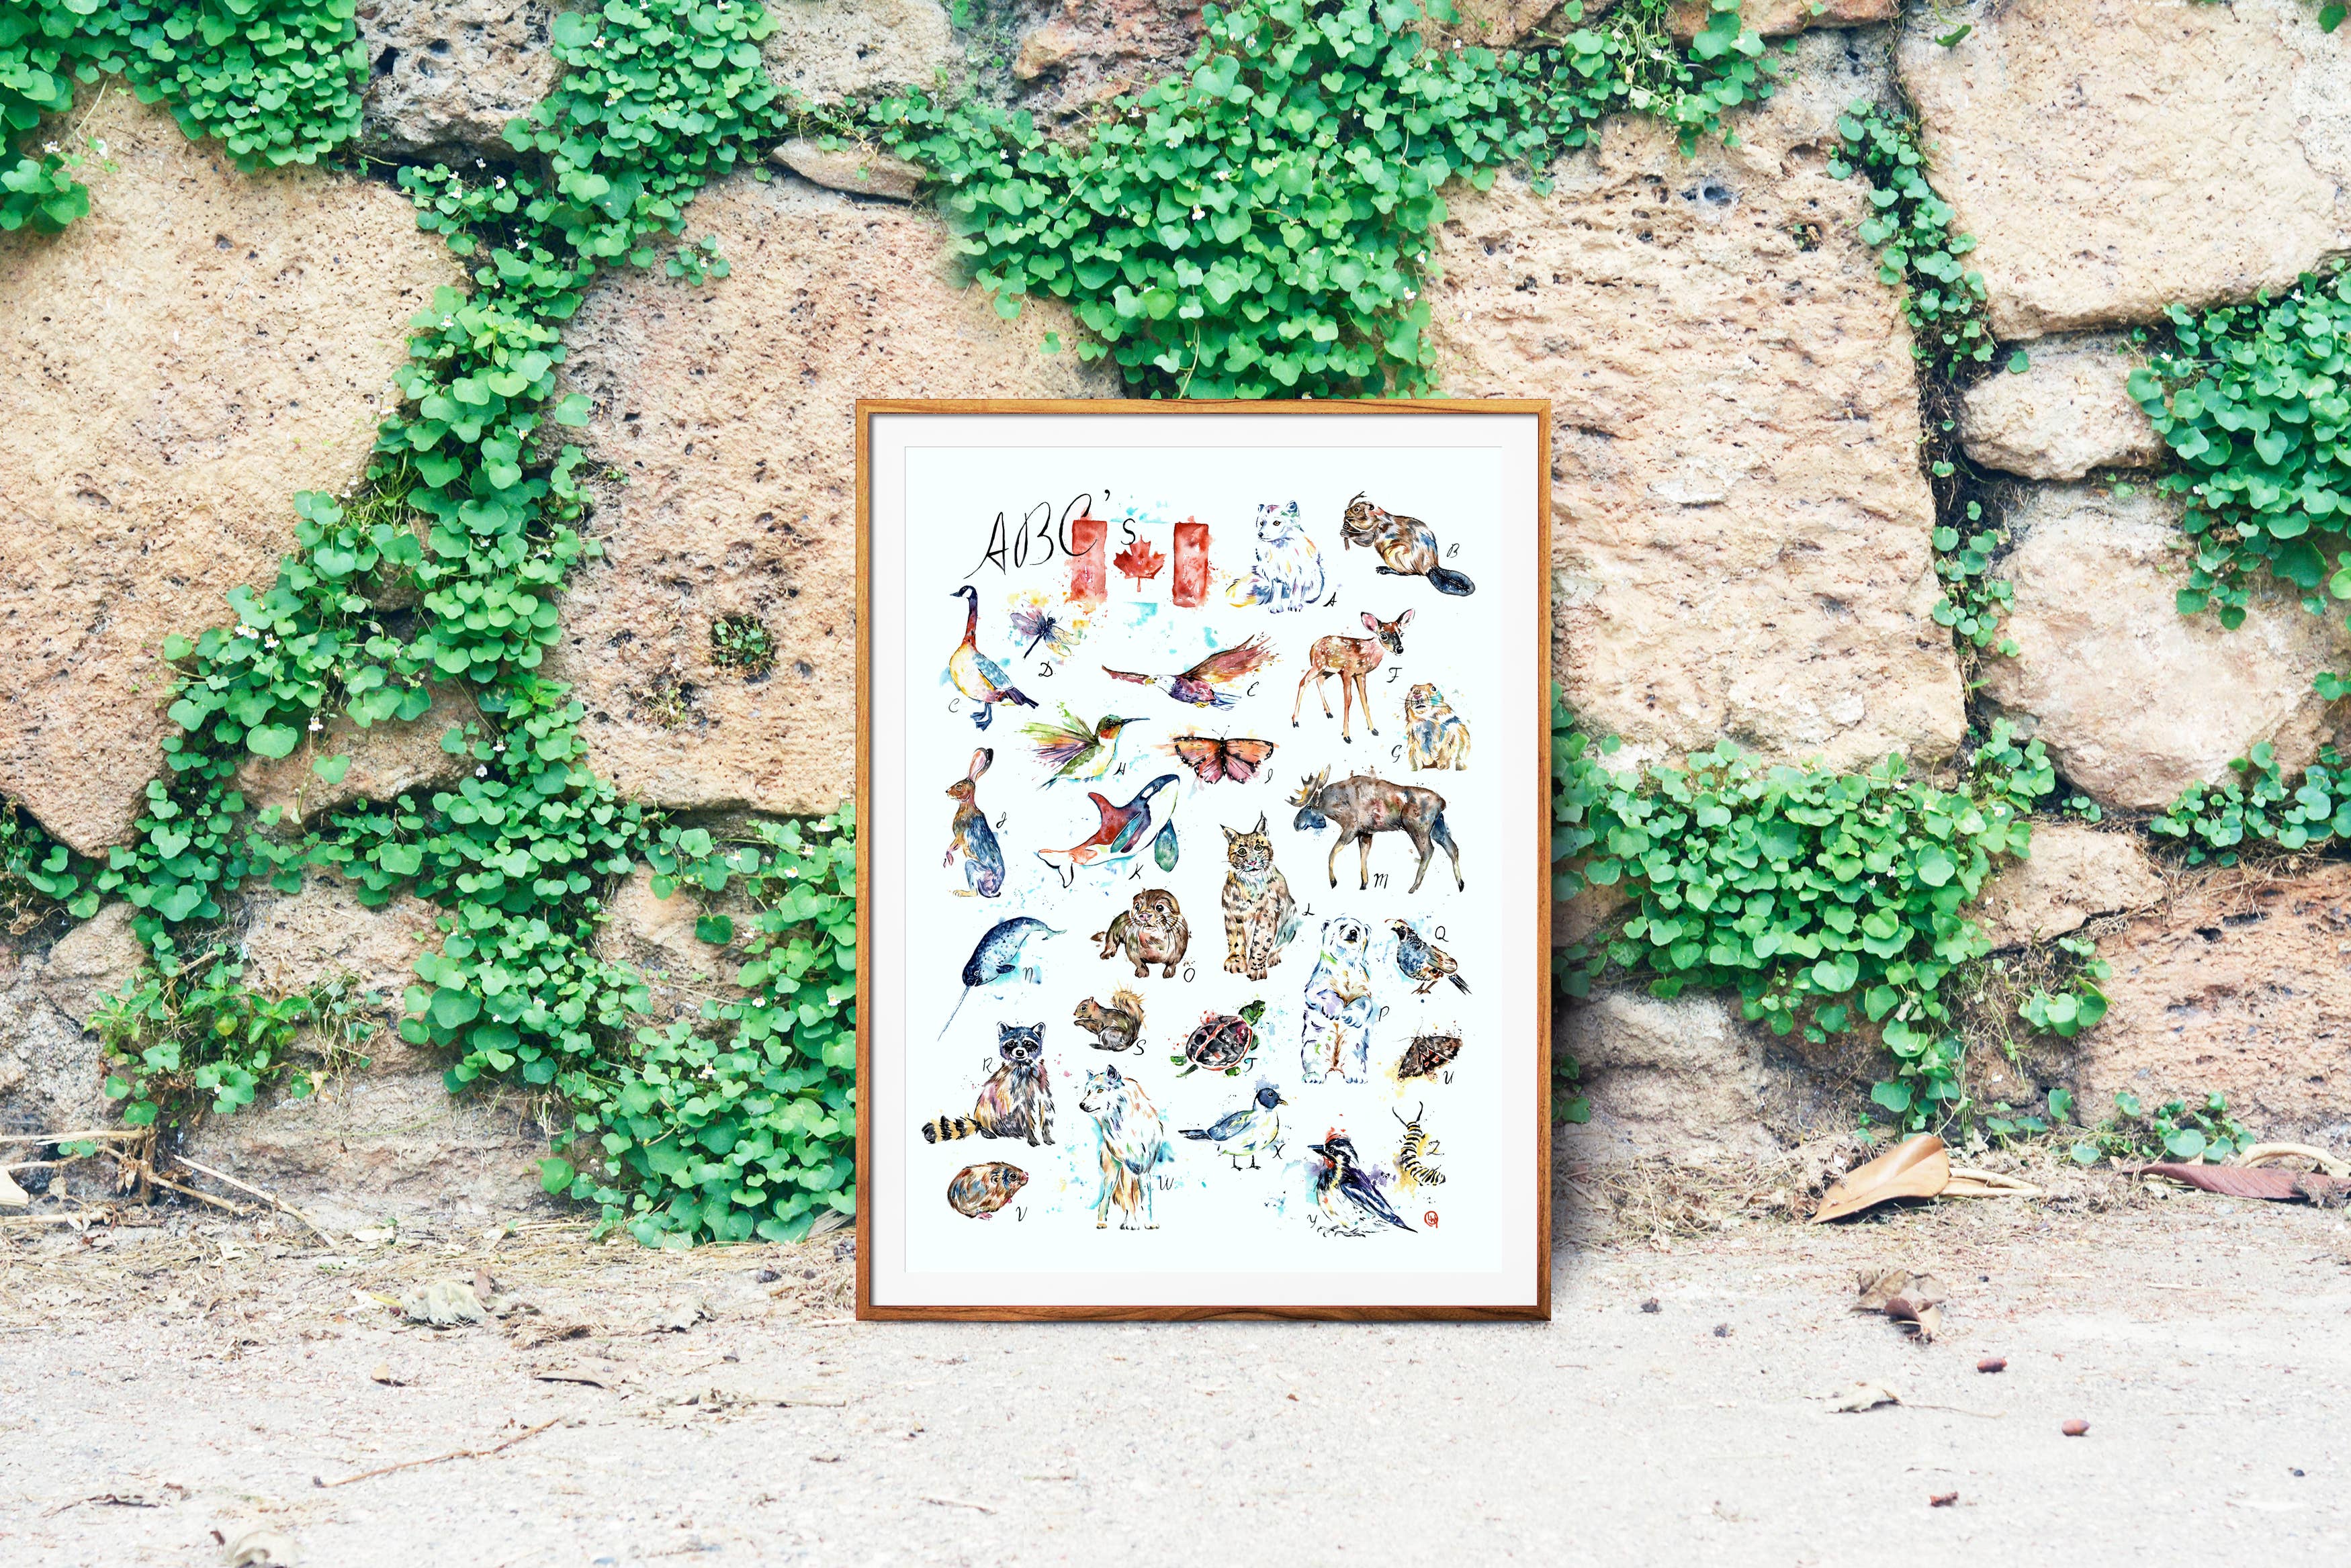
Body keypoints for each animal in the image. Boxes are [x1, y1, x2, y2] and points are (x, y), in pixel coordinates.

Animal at [1288, 767, 1464, 894]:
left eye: (1309, 807)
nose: (1296, 823)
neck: (1334, 806)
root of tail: (1442, 803)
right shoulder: (1366, 833)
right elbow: (1363, 858)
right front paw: (1364, 884)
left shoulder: (1351, 828)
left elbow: (1332, 853)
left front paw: (1334, 882)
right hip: (1437, 828)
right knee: (1452, 848)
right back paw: (1460, 884)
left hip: (1417, 829)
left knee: (1428, 851)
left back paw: (1413, 887)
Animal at [1291, 610, 1411, 742]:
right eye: (1384, 636)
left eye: (1401, 634)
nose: (1399, 649)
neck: (1366, 653)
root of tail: (1312, 648)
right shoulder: (1347, 672)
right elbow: (1348, 700)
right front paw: (1346, 736)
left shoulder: (1360, 674)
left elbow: (1364, 699)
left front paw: (1373, 729)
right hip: (1318, 665)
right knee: (1303, 681)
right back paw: (1295, 721)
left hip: (1328, 671)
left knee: (1319, 681)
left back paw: (1328, 712)